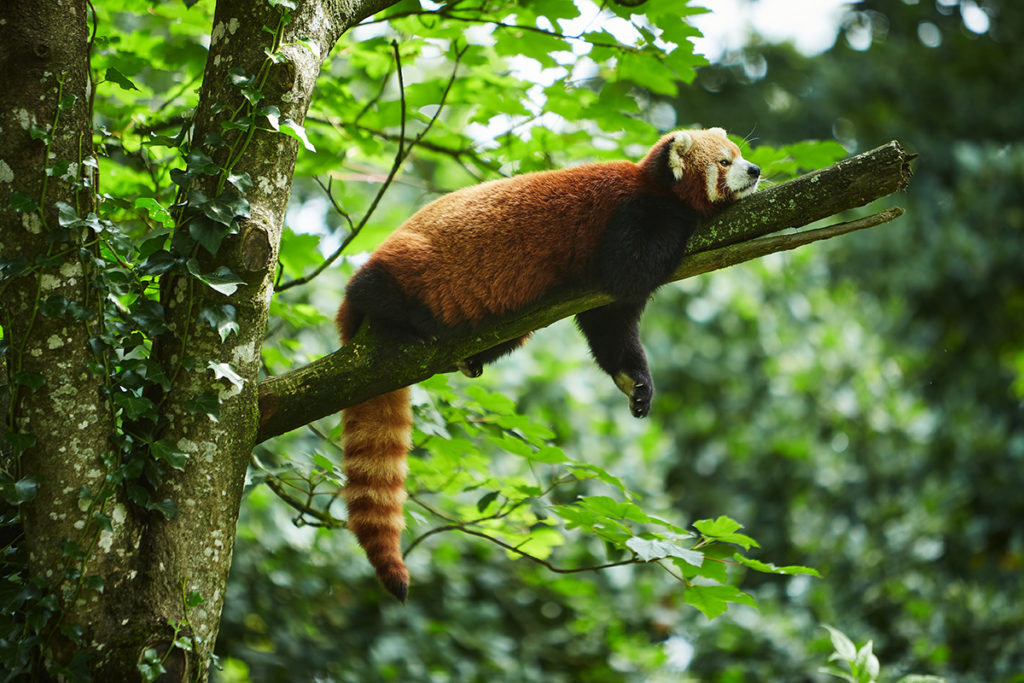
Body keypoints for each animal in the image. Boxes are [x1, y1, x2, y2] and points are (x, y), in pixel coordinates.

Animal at [335, 126, 761, 598]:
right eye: (724, 162)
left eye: (739, 154)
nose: (755, 170)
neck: (651, 185)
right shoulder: (627, 216)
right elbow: (630, 269)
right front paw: (691, 219)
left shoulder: (608, 292)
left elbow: (612, 326)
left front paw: (635, 383)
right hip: (414, 268)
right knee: (379, 288)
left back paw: (472, 359)